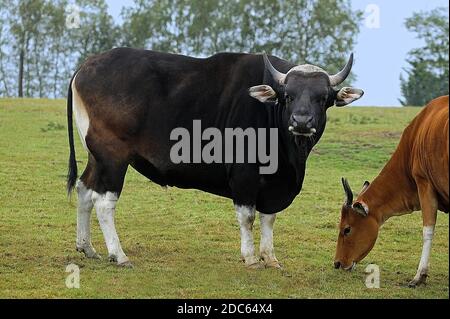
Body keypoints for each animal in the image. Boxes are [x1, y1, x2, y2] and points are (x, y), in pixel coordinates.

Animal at [66, 48, 362, 268]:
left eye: (323, 98)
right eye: (287, 96)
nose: (301, 121)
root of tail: (87, 65)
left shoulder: (276, 183)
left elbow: (269, 219)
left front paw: (270, 258)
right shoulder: (244, 176)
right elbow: (248, 217)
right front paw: (251, 258)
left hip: (96, 156)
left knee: (84, 189)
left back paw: (86, 246)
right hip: (113, 158)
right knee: (104, 202)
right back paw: (119, 255)